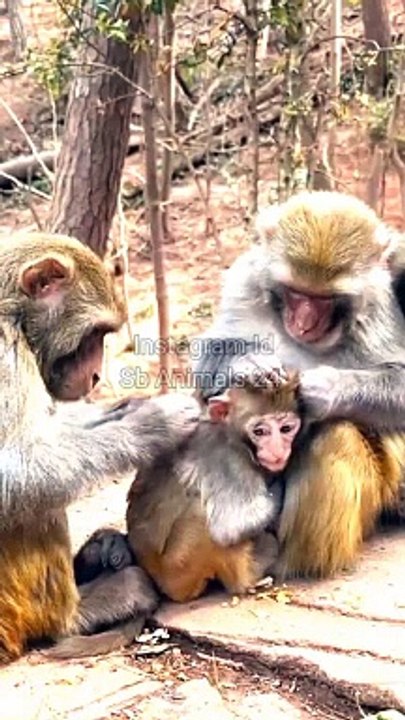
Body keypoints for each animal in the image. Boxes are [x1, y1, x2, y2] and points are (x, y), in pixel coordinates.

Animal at [0, 230, 201, 664]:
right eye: (93, 336)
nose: (94, 376)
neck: (11, 315)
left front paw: (126, 410)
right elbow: (15, 469)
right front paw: (153, 425)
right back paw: (77, 614)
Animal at [125, 368, 303, 603]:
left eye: (286, 428)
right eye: (260, 431)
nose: (277, 450)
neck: (230, 433)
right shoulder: (228, 459)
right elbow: (230, 527)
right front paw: (279, 481)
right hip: (179, 569)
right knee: (202, 515)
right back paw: (250, 576)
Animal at [192, 190, 405, 578]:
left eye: (325, 299)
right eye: (295, 293)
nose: (303, 324)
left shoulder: (381, 307)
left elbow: (400, 379)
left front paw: (327, 389)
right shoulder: (245, 281)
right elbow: (210, 355)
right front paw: (247, 363)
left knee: (336, 436)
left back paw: (295, 561)